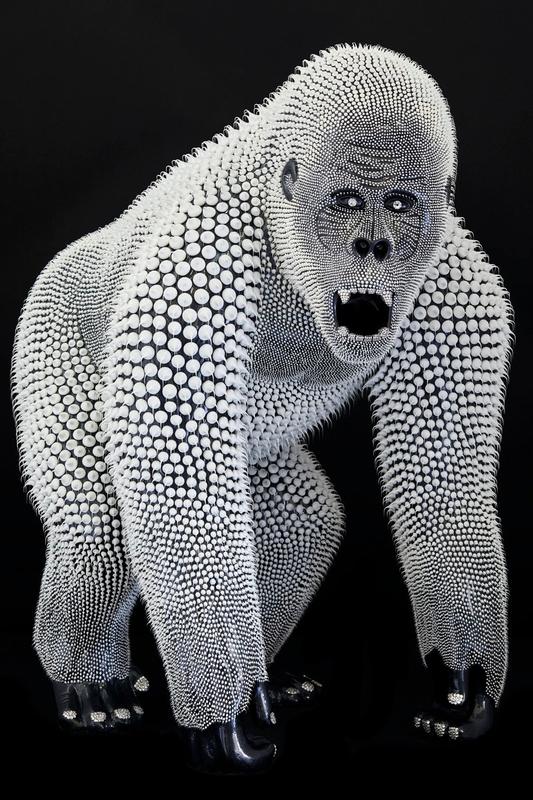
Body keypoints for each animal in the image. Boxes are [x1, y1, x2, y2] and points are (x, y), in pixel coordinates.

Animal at [11, 44, 514, 772]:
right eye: (346, 202)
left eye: (399, 204)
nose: (373, 247)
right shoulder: (195, 263)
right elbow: (179, 493)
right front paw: (226, 718)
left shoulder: (456, 285)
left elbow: (443, 485)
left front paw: (463, 678)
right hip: (51, 322)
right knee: (97, 535)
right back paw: (91, 678)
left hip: (256, 449)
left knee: (303, 525)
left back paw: (267, 674)